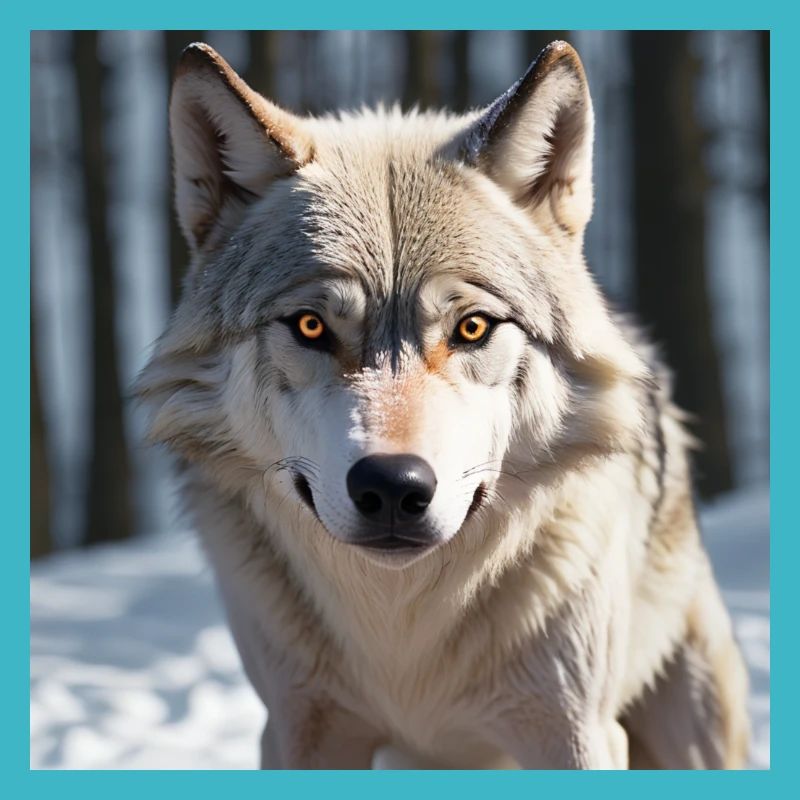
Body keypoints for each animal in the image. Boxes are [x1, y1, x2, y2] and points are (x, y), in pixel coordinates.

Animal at [137, 40, 750, 769]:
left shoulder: (576, 733)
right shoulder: (299, 730)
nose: (392, 487)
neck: (403, 634)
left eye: (473, 327)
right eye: (311, 327)